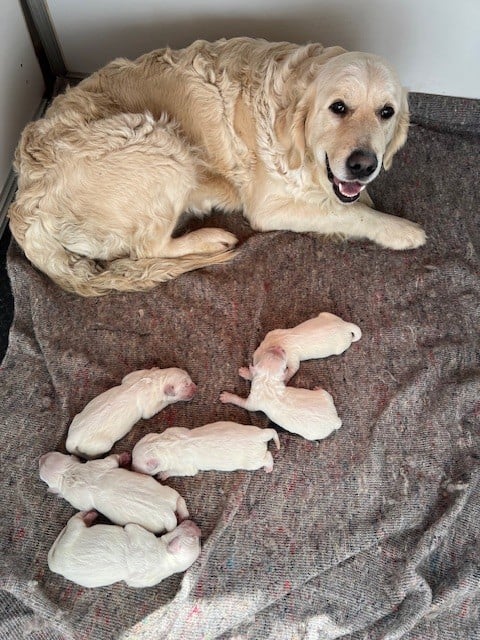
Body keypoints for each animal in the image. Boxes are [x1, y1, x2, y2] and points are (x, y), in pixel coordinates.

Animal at [9, 39, 426, 298]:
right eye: (338, 107)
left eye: (386, 112)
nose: (363, 165)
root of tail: (22, 204)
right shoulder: (269, 207)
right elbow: (349, 214)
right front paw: (399, 229)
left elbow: (349, 203)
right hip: (158, 141)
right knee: (148, 248)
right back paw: (211, 238)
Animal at [39, 450, 189, 536]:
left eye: (40, 469)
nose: (40, 458)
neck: (68, 473)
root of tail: (168, 513)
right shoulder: (97, 465)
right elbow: (111, 460)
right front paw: (124, 457)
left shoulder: (77, 498)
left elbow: (86, 508)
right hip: (170, 493)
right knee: (180, 501)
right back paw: (183, 516)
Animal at [47, 510, 201, 592]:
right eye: (194, 538)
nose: (195, 524)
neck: (165, 556)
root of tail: (55, 564)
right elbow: (131, 525)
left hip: (73, 534)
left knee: (75, 521)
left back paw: (89, 515)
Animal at [65, 368, 197, 458]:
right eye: (186, 385)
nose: (196, 387)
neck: (155, 380)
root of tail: (71, 440)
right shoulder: (149, 406)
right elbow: (151, 411)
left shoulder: (135, 375)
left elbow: (128, 376)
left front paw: (155, 367)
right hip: (101, 444)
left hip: (76, 418)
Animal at [131, 420, 282, 480]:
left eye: (135, 465)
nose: (130, 467)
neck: (162, 444)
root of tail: (259, 437)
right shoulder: (176, 430)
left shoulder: (185, 466)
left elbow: (180, 471)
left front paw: (163, 474)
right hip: (253, 429)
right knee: (271, 431)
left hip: (251, 461)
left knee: (267, 456)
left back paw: (268, 467)